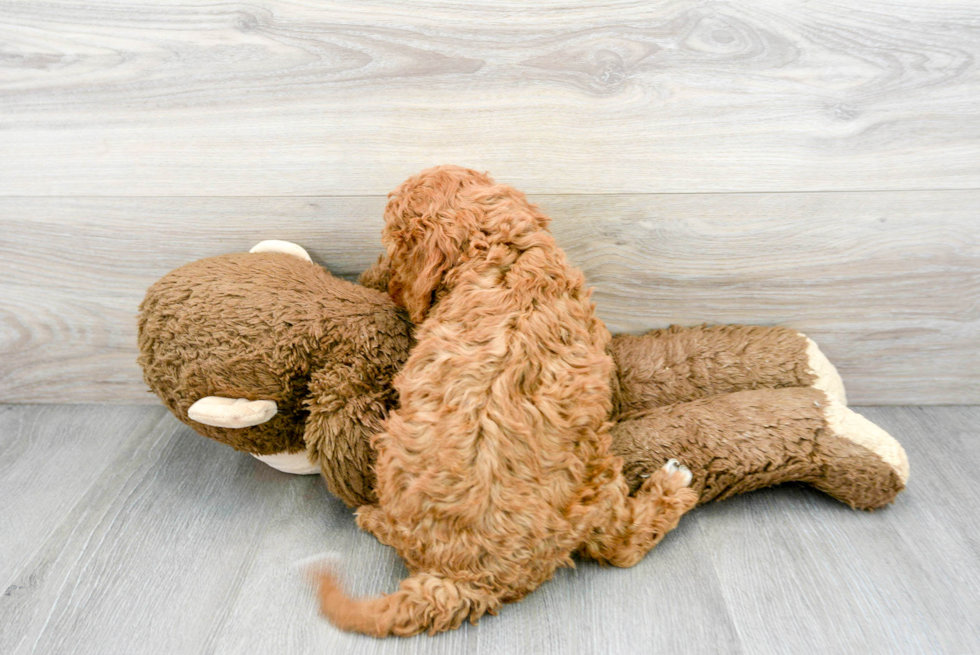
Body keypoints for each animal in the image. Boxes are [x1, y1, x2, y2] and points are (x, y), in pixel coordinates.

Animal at [314, 167, 696, 640]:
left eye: (394, 245)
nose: (377, 280)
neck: (504, 252)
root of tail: (471, 578)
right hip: (596, 475)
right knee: (621, 545)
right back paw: (672, 485)